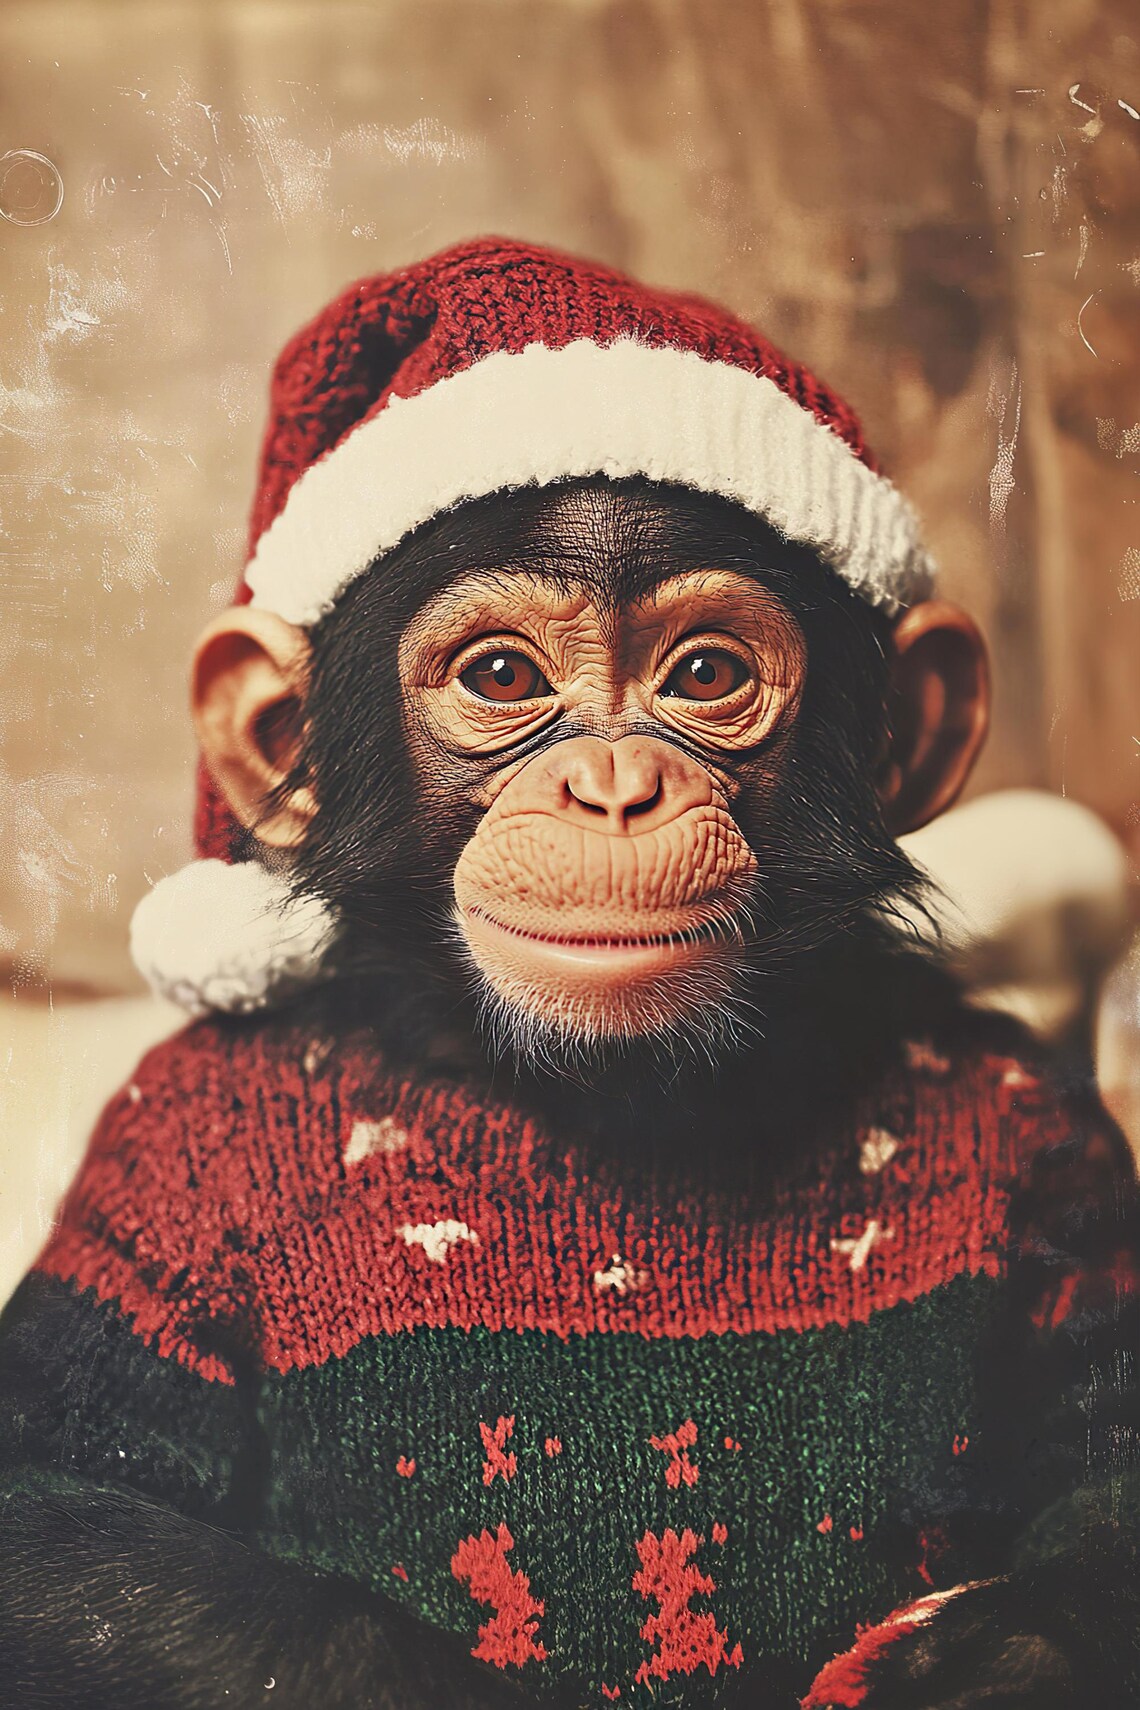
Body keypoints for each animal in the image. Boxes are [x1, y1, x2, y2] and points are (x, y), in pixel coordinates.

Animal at [1, 238, 1137, 1709]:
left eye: (704, 672)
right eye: (501, 674)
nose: (610, 785)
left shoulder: (1051, 1130)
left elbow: (1103, 1462)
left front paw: (982, 1660)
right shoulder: (166, 1157)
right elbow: (51, 1513)